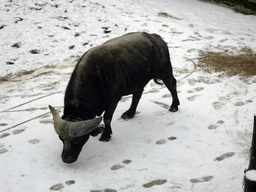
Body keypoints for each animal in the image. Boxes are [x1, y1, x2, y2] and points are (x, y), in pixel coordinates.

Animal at [49, 31, 179, 164]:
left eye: (77, 140)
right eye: (61, 139)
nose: (66, 159)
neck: (96, 77)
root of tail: (156, 38)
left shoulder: (113, 100)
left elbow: (107, 118)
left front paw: (106, 135)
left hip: (165, 71)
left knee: (172, 84)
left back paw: (174, 106)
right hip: (138, 80)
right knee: (137, 95)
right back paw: (130, 113)